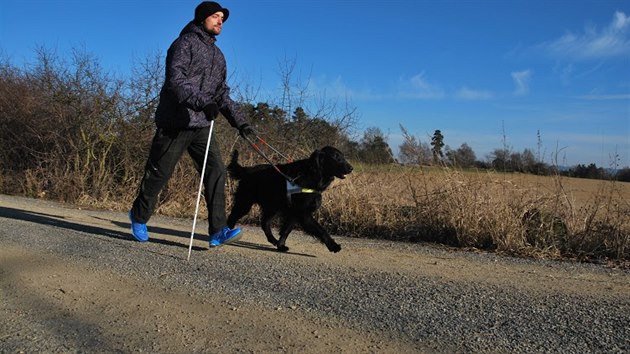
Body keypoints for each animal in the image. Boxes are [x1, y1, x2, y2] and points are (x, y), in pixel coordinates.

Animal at [228, 146, 356, 252]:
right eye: (336, 157)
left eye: (343, 156)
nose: (351, 168)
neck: (312, 174)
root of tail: (247, 170)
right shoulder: (303, 213)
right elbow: (321, 230)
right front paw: (333, 246)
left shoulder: (294, 213)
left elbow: (286, 230)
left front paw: (280, 246)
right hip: (245, 203)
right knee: (232, 217)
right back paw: (226, 234)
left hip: (271, 207)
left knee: (264, 223)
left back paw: (273, 240)